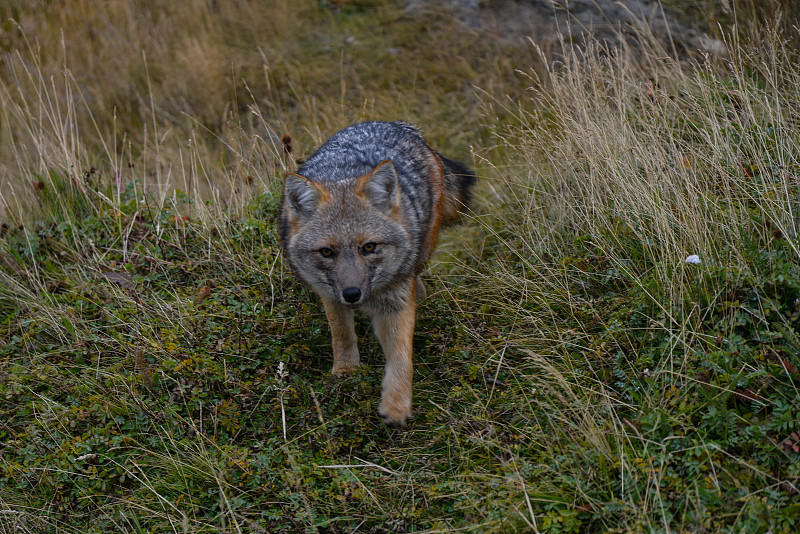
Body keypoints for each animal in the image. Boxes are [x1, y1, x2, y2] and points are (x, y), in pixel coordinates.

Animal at [278, 121, 472, 428]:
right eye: (326, 252)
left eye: (368, 247)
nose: (352, 294)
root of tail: (399, 125)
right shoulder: (329, 296)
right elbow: (342, 335)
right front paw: (345, 372)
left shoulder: (396, 303)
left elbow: (401, 356)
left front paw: (396, 404)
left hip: (424, 250)